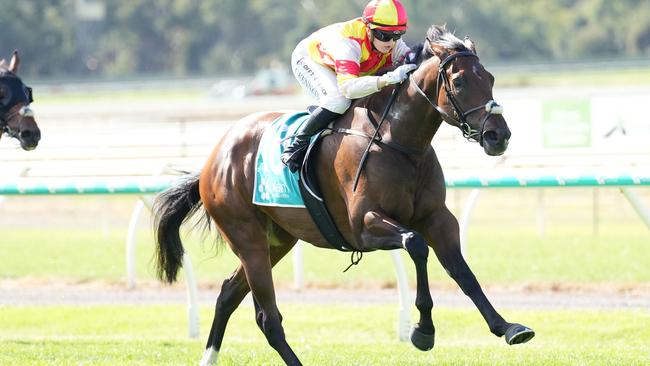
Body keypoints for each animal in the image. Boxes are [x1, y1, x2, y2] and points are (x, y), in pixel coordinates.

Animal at [153, 24, 532, 364]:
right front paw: (423, 331)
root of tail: (212, 160)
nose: (499, 136)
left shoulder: (436, 217)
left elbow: (462, 272)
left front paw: (508, 327)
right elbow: (416, 245)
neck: (397, 141)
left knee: (228, 295)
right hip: (248, 240)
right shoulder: (364, 225)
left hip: (277, 240)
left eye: (490, 78)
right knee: (268, 319)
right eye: (459, 81)